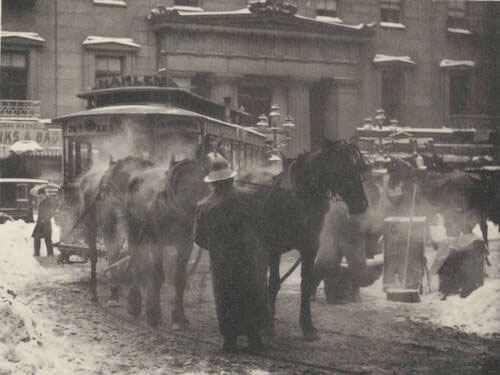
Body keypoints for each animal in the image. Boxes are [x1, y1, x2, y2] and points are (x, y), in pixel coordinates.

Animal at [80, 156, 153, 302]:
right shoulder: (110, 221)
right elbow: (113, 251)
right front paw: (114, 296)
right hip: (90, 220)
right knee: (94, 252)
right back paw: (94, 292)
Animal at [127, 145, 211, 328]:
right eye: (182, 188)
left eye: (204, 187)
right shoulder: (157, 243)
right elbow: (158, 276)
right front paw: (154, 314)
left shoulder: (185, 245)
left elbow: (179, 279)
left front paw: (179, 317)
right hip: (134, 230)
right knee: (136, 261)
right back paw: (134, 303)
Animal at [238, 139, 368, 340]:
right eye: (341, 167)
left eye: (359, 168)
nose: (361, 205)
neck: (299, 197)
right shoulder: (274, 248)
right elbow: (274, 283)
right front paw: (269, 325)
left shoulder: (310, 248)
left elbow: (305, 284)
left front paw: (308, 326)